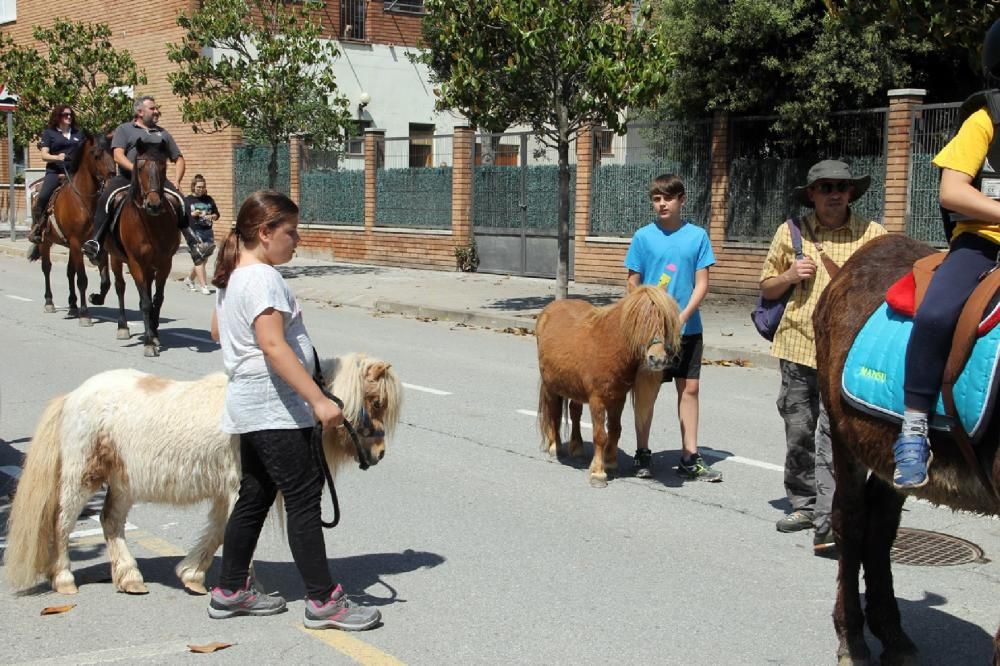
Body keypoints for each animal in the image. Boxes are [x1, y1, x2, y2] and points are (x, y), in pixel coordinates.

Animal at [4, 350, 402, 592]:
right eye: (375, 402)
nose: (380, 453)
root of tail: (72, 397)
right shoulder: (240, 489)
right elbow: (233, 533)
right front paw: (234, 586)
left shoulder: (234, 492)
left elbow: (223, 532)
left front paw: (196, 577)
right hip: (81, 477)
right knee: (62, 522)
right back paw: (64, 579)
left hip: (124, 482)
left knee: (110, 521)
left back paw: (130, 578)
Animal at [32, 132, 115, 324]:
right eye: (96, 154)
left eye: (111, 152)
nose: (112, 174)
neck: (84, 200)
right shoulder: (77, 242)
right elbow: (82, 279)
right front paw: (85, 314)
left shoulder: (98, 245)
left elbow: (105, 281)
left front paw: (95, 298)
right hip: (46, 242)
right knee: (46, 268)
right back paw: (50, 302)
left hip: (69, 245)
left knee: (70, 272)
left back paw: (72, 306)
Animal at [108, 137, 181, 356]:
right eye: (140, 167)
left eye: (164, 165)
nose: (153, 205)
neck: (150, 223)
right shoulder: (136, 263)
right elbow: (146, 302)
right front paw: (149, 342)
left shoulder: (165, 263)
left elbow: (157, 298)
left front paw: (155, 334)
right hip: (115, 258)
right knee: (120, 287)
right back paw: (123, 327)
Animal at [536, 282, 684, 486]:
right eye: (638, 321)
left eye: (663, 320)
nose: (658, 359)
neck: (608, 345)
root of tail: (549, 309)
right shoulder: (597, 399)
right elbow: (600, 435)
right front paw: (598, 473)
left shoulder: (618, 398)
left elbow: (615, 430)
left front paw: (611, 463)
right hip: (551, 386)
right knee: (554, 413)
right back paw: (554, 447)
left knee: (574, 412)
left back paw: (577, 448)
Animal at [812, 232, 1000, 664]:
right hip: (844, 433)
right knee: (852, 521)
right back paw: (853, 640)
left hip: (887, 457)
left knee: (881, 527)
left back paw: (893, 636)